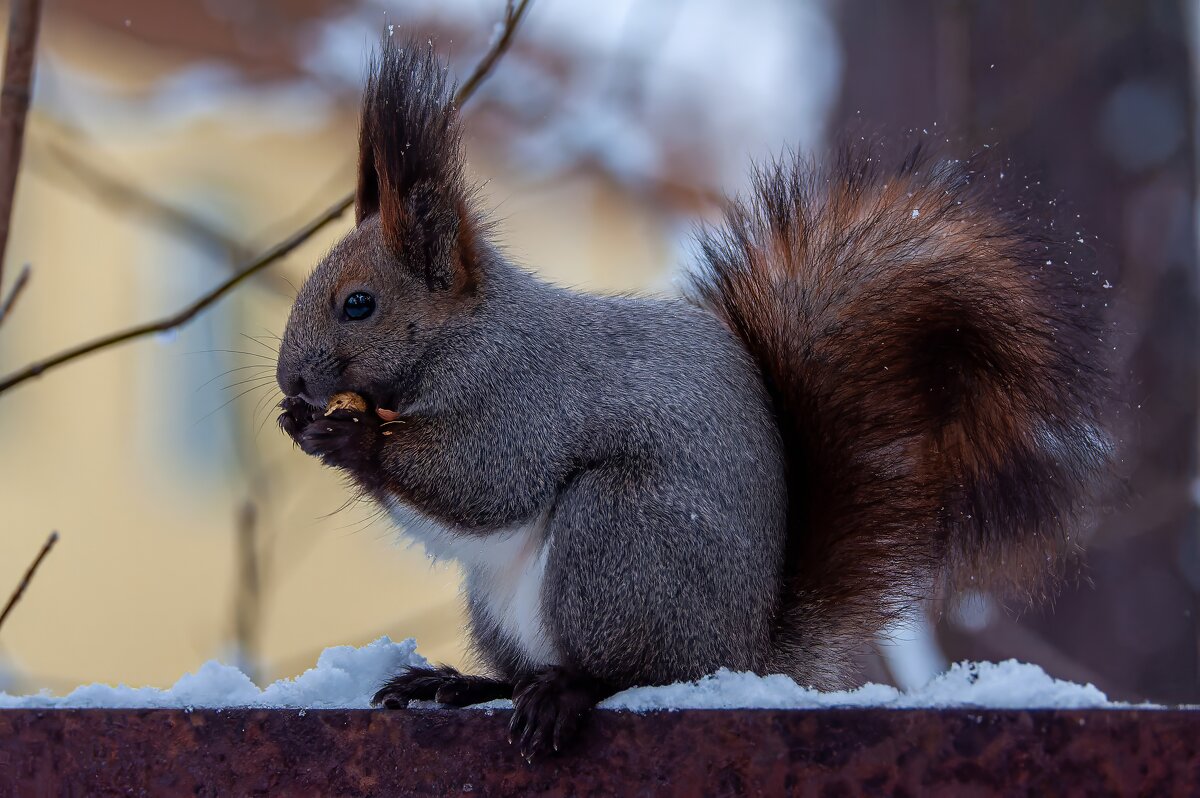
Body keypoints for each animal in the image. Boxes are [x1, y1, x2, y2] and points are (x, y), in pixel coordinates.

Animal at [274, 39, 1113, 758]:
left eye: (359, 305)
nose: (289, 382)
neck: (468, 338)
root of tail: (743, 653)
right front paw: (301, 423)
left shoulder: (526, 400)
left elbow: (486, 484)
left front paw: (348, 439)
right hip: (510, 600)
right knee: (526, 668)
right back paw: (459, 685)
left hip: (620, 537)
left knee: (625, 674)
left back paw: (564, 693)